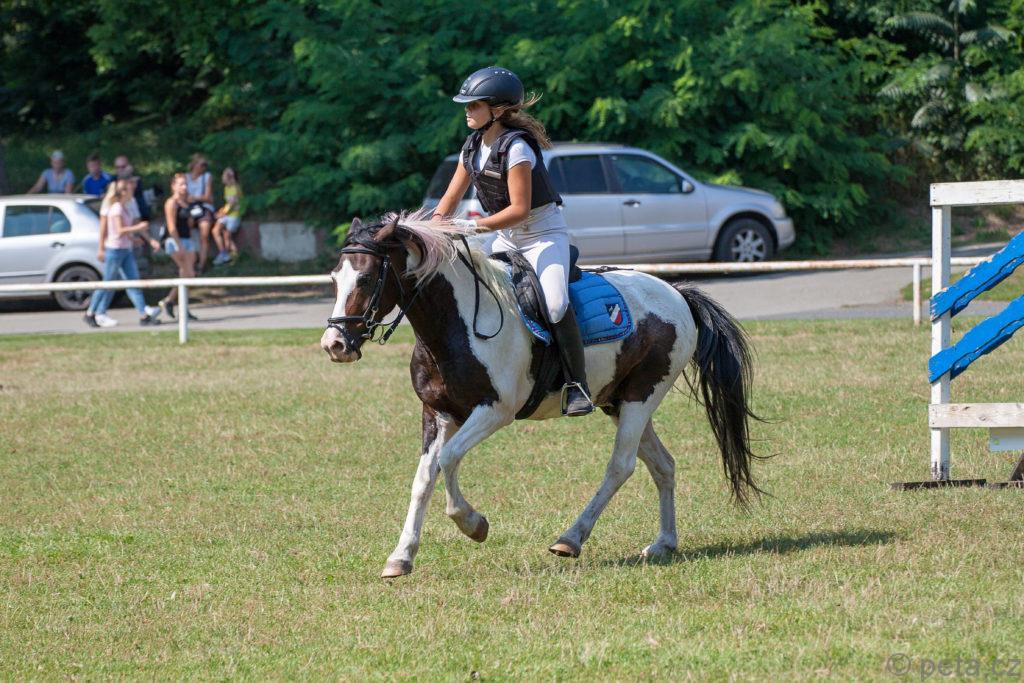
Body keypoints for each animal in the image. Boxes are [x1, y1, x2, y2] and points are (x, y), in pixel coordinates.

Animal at [320, 212, 762, 578]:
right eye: (334, 279)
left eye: (366, 279)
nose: (334, 345)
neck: (454, 325)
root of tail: (676, 293)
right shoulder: (437, 412)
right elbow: (424, 478)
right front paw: (402, 556)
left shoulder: (493, 411)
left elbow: (448, 460)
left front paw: (473, 524)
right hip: (618, 402)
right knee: (663, 465)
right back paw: (663, 543)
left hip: (642, 396)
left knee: (620, 467)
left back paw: (571, 538)